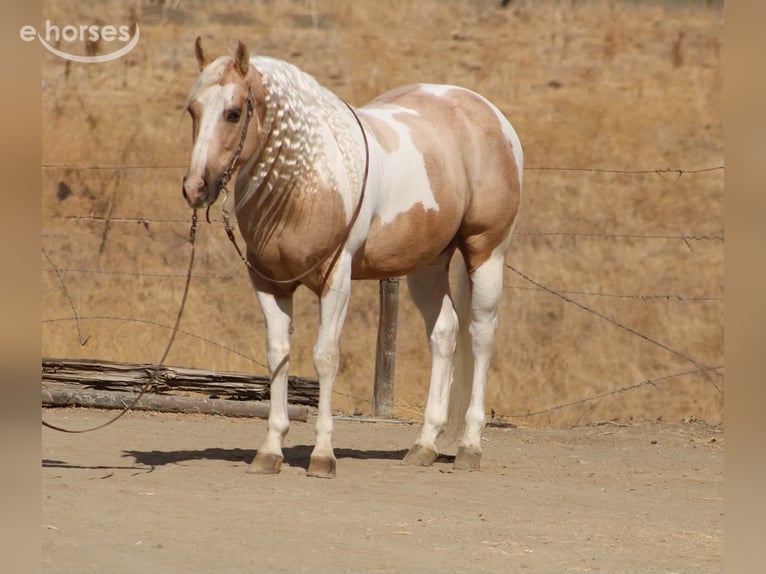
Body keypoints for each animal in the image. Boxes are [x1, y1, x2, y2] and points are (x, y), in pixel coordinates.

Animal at [182, 38, 523, 478]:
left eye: (233, 112)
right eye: (192, 109)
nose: (195, 188)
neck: (307, 180)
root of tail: (488, 113)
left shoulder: (336, 279)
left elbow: (325, 357)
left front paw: (322, 455)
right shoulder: (268, 283)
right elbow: (278, 355)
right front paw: (270, 450)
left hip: (486, 251)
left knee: (480, 335)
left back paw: (469, 446)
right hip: (428, 264)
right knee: (445, 332)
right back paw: (424, 445)